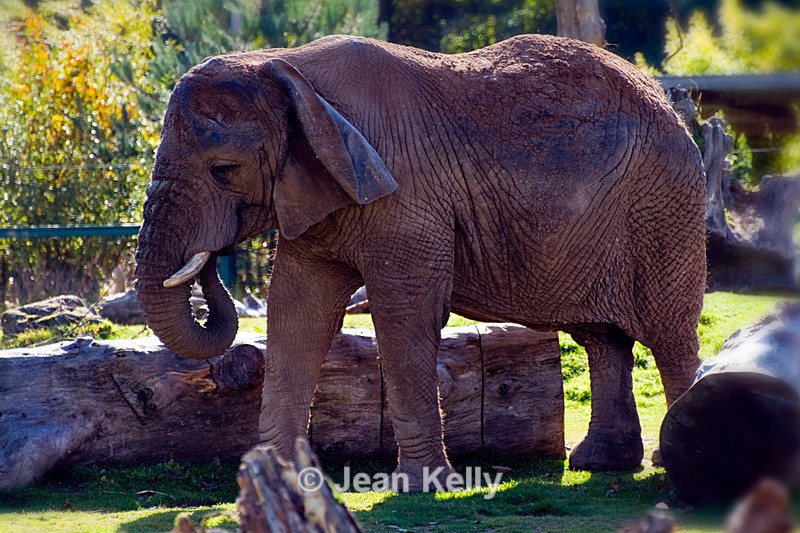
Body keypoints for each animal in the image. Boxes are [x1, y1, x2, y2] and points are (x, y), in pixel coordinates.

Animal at [135, 34, 706, 484]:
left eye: (223, 170)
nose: (210, 259)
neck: (287, 67)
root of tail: (669, 103)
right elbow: (297, 311)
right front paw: (278, 478)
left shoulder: (407, 197)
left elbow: (403, 315)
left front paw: (420, 487)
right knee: (603, 339)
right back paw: (600, 464)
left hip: (664, 207)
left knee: (669, 335)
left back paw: (674, 460)